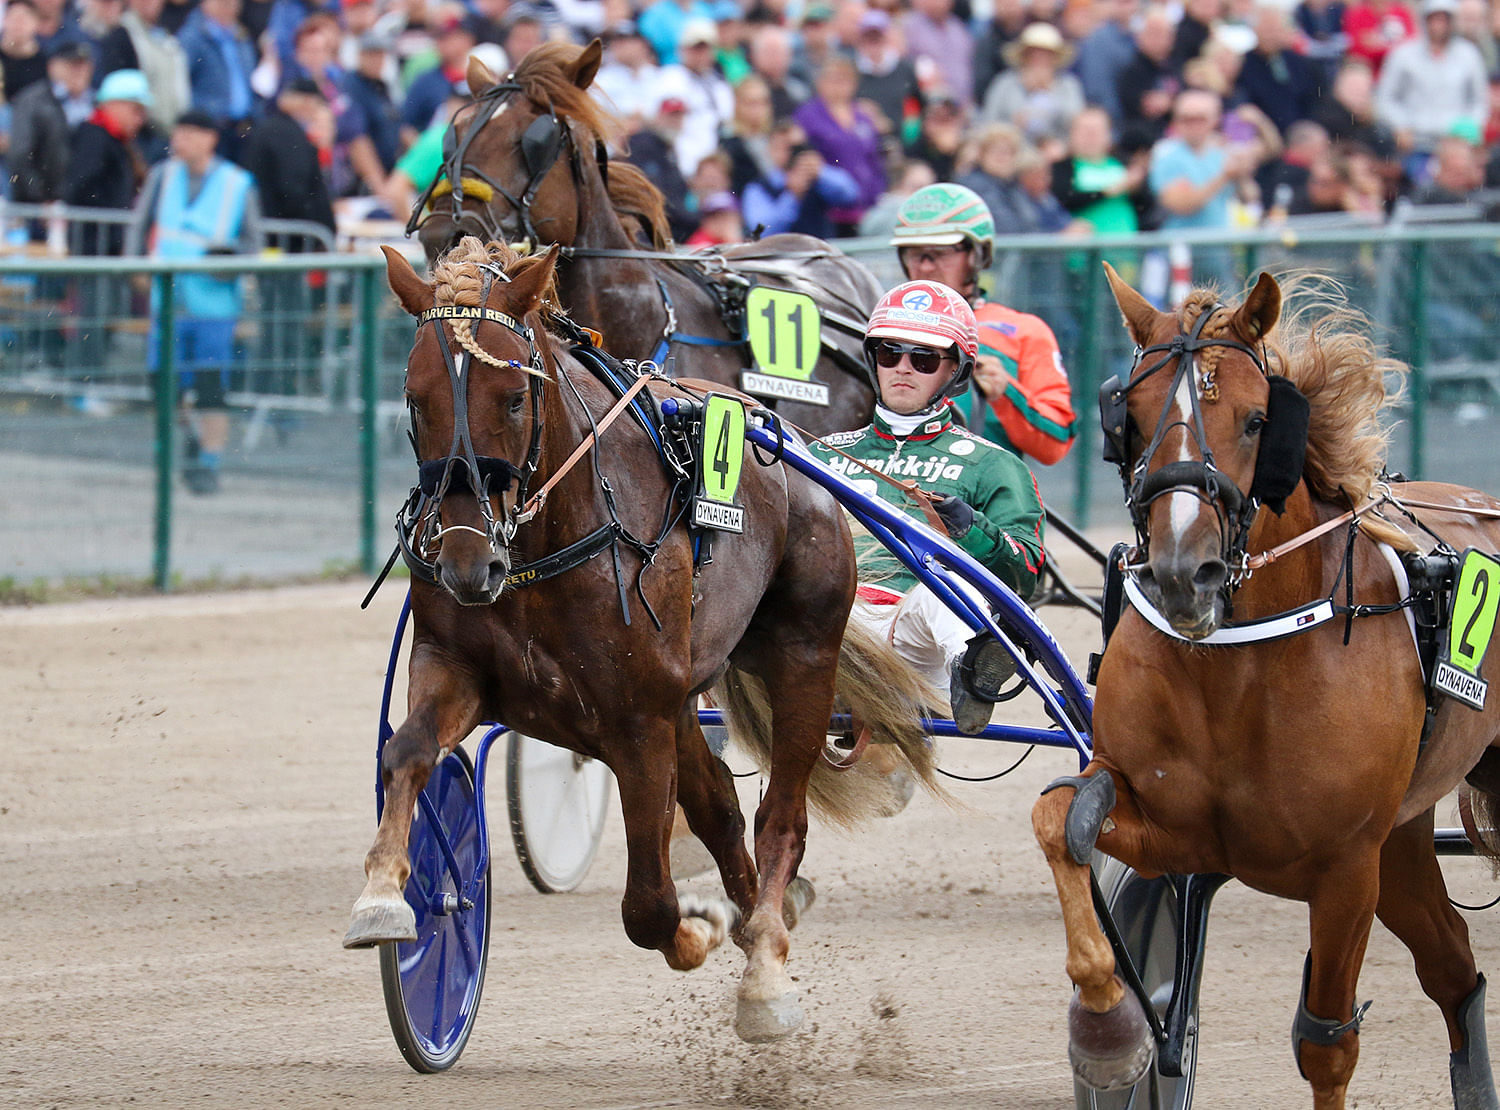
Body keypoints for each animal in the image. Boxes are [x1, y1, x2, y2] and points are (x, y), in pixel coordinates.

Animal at [1038, 268, 1500, 1110]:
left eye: (1257, 419)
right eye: (1132, 416)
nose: (1183, 574)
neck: (1236, 665)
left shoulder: (1347, 869)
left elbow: (1326, 1045)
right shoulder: (1176, 829)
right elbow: (1061, 818)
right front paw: (1109, 1031)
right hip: (1406, 836)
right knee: (1455, 971)